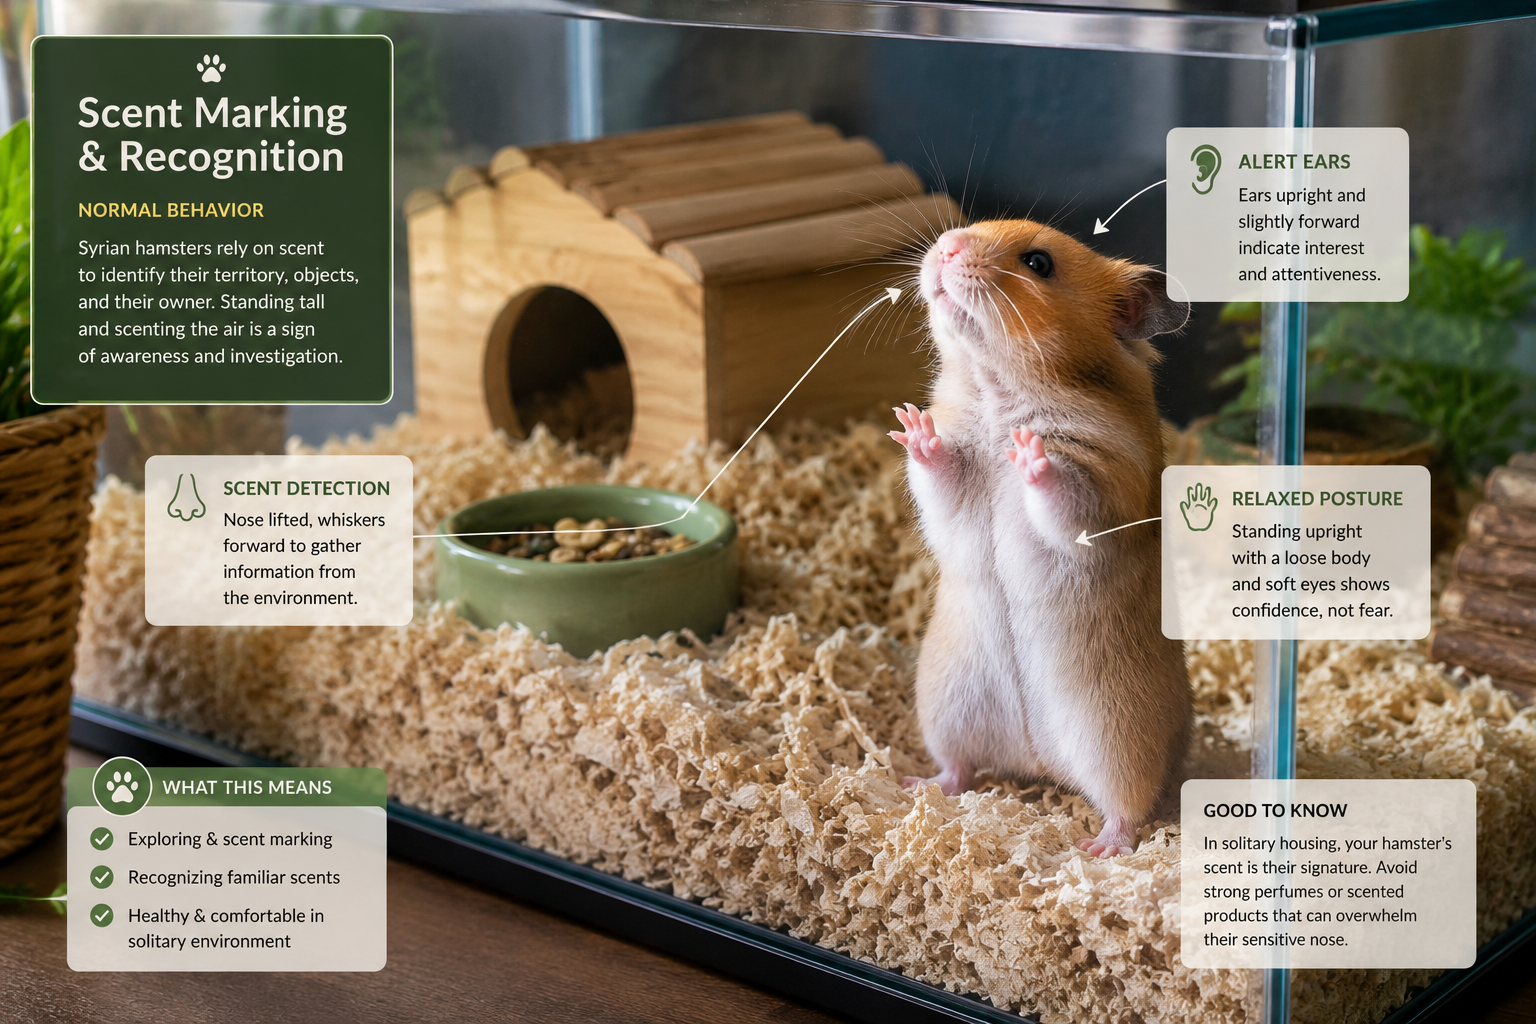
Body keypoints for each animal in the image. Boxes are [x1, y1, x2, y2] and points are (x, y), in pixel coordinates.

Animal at [889, 219, 1191, 858]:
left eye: (1038, 264)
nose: (946, 247)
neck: (995, 386)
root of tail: (1038, 763)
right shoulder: (957, 484)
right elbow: (940, 471)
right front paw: (913, 426)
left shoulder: (1103, 485)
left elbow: (1062, 490)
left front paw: (1030, 450)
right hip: (945, 706)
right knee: (959, 768)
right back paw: (917, 785)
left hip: (1115, 737)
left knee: (1127, 807)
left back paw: (1098, 849)